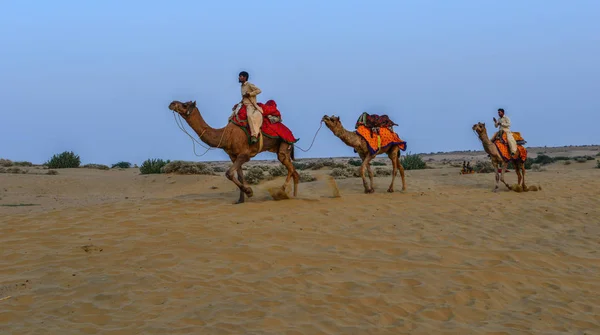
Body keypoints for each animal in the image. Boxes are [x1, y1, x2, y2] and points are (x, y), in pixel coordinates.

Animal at [169, 101, 300, 203]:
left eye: (185, 105)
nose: (172, 103)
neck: (226, 135)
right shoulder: (233, 156)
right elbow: (239, 176)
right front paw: (240, 200)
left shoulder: (244, 155)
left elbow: (229, 173)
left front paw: (249, 191)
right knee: (294, 171)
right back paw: (293, 195)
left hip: (284, 144)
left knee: (289, 167)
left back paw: (281, 192)